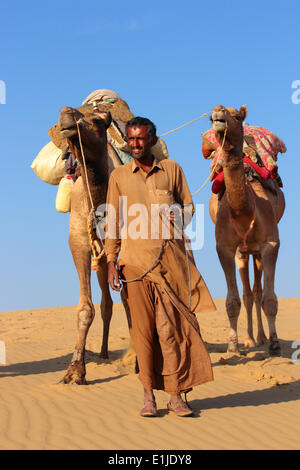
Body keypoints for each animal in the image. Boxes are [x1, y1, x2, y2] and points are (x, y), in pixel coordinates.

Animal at [56, 104, 132, 384]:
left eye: (98, 121)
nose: (66, 113)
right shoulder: (79, 242)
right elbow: (84, 309)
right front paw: (75, 370)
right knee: (105, 301)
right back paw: (102, 352)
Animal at [203, 105, 284, 356]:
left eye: (237, 116)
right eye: (212, 116)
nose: (218, 113)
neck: (244, 212)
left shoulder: (270, 245)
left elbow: (269, 299)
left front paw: (274, 343)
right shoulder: (225, 248)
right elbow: (232, 301)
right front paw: (233, 346)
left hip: (256, 251)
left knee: (257, 292)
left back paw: (261, 338)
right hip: (243, 252)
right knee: (248, 293)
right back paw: (249, 339)